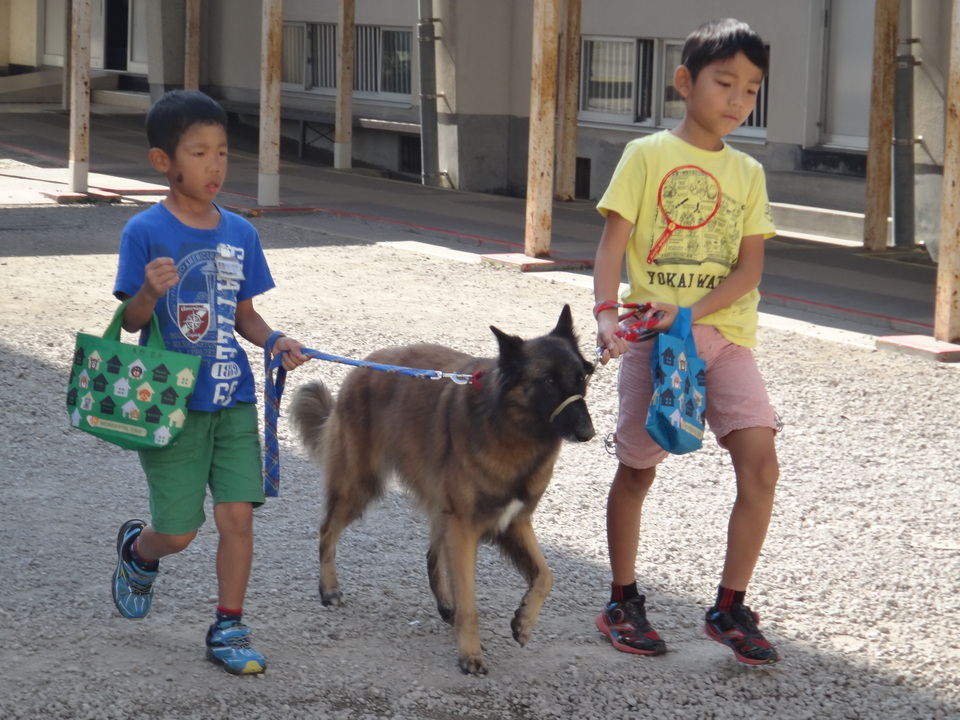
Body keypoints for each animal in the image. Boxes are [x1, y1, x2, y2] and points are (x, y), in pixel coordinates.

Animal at [288, 306, 596, 676]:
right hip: (358, 488)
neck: (508, 424)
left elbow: (546, 576)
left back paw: (445, 605)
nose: (588, 432)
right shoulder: (465, 527)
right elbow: (471, 603)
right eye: (548, 381)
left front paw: (523, 622)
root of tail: (364, 366)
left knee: (432, 555)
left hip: (435, 507)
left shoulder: (514, 522)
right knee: (326, 531)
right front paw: (470, 654)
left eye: (581, 377)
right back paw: (329, 589)